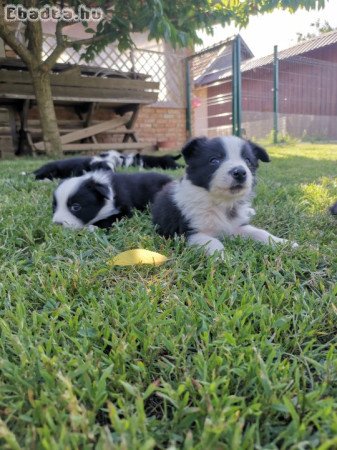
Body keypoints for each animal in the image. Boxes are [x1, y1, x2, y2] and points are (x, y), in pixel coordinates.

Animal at [152, 135, 296, 256]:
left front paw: (283, 243)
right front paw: (223, 258)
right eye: (214, 160)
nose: (240, 172)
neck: (221, 202)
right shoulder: (188, 233)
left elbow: (260, 232)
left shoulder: (237, 226)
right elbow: (213, 242)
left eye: (248, 161)